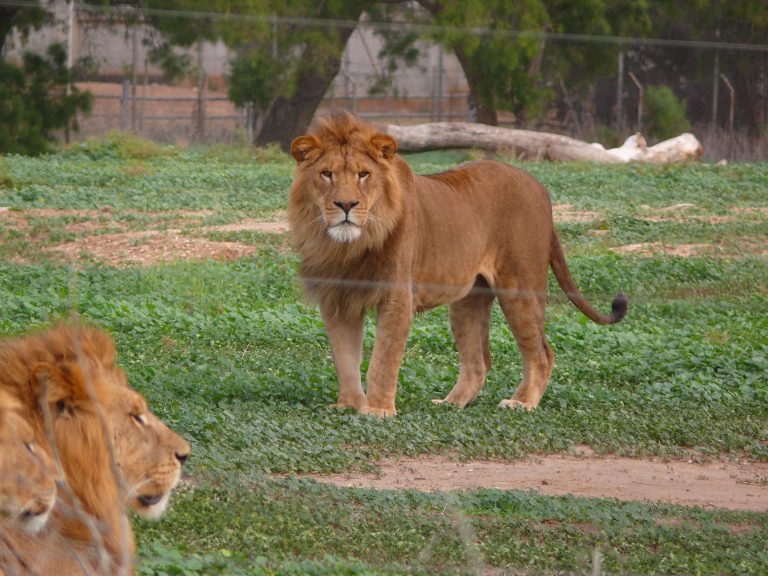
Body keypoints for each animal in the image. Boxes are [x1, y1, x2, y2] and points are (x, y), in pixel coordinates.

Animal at [292, 112, 628, 416]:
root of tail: (540, 188)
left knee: (542, 353)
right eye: (327, 174)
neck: (348, 247)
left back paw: (522, 403)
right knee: (479, 362)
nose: (346, 205)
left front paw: (376, 410)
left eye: (363, 174)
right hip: (469, 300)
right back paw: (451, 403)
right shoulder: (337, 299)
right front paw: (348, 405)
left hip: (520, 286)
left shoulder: (397, 296)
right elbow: (345, 357)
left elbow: (383, 359)